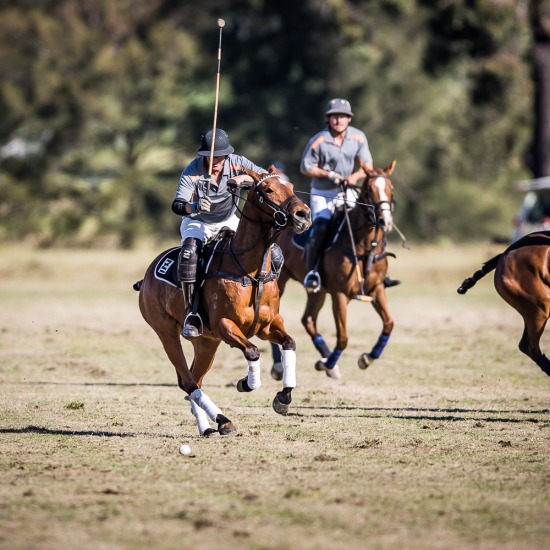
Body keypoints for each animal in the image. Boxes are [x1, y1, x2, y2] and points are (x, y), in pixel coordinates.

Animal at [136, 170, 312, 438]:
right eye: (268, 189)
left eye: (291, 186)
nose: (303, 214)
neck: (251, 269)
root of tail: (146, 277)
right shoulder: (224, 325)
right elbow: (252, 351)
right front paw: (246, 383)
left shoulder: (268, 325)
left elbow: (289, 343)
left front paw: (283, 398)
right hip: (166, 332)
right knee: (187, 381)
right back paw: (223, 420)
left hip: (206, 342)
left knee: (193, 379)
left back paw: (209, 426)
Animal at [272, 162, 396, 382]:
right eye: (369, 189)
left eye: (391, 188)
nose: (384, 220)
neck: (363, 246)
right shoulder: (339, 294)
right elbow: (344, 337)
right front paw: (329, 363)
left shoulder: (377, 289)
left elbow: (389, 324)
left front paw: (367, 358)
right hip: (280, 279)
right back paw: (280, 365)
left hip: (318, 291)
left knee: (308, 320)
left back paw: (326, 358)